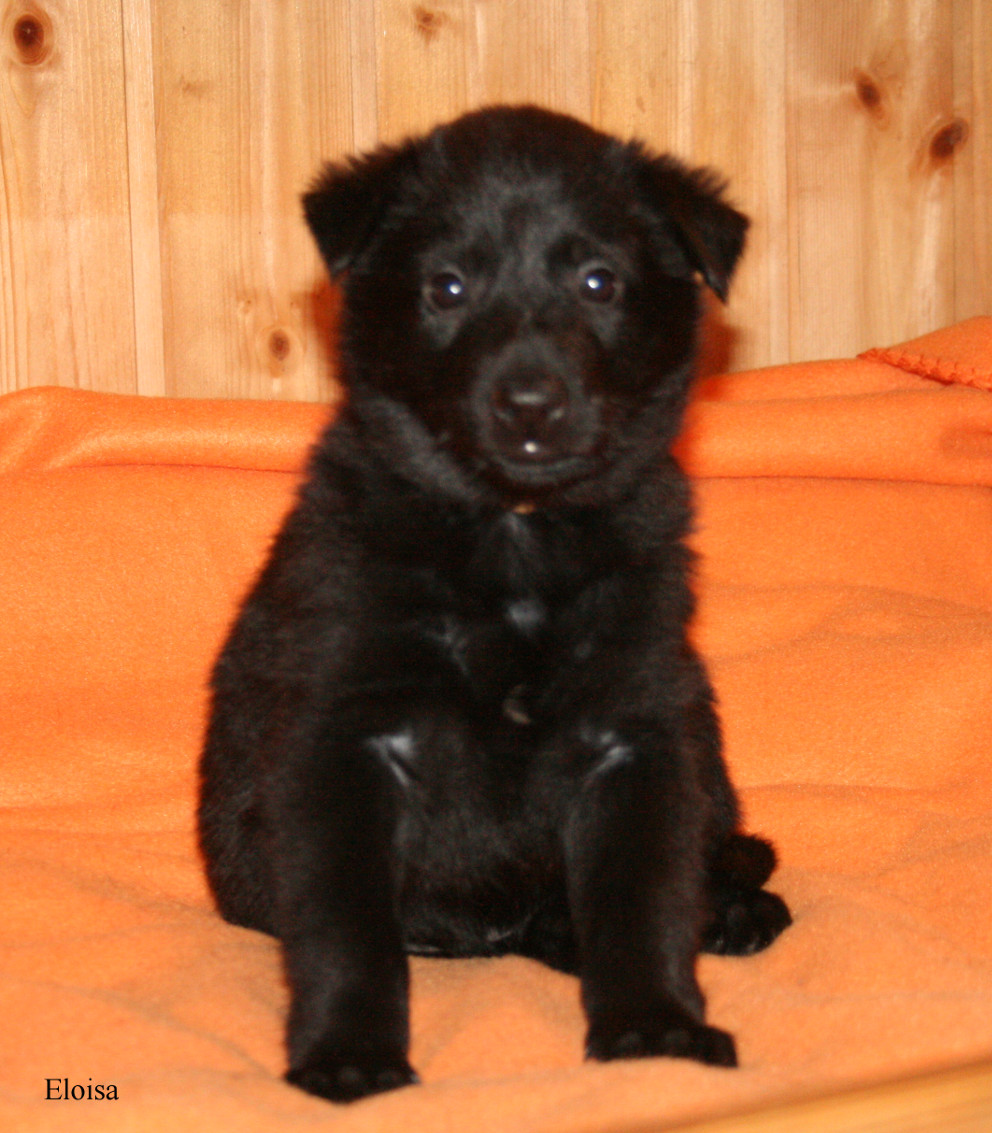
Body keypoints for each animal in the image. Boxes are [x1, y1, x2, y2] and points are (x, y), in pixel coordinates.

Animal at [198, 105, 791, 1103]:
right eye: (447, 287)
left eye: (599, 282)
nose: (530, 403)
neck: (514, 538)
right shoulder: (345, 741)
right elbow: (349, 932)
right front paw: (349, 1055)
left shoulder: (633, 734)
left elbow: (642, 902)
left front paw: (656, 1030)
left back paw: (733, 906)